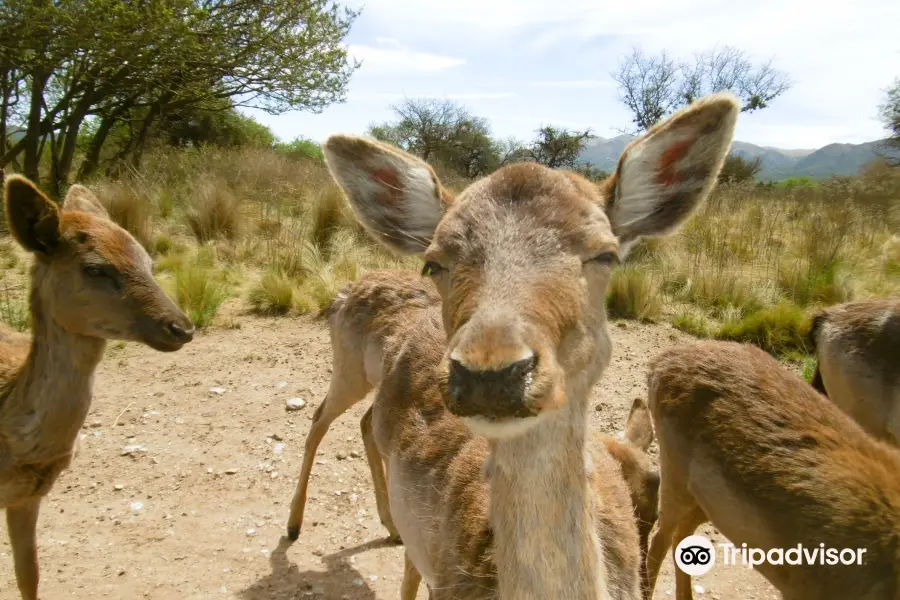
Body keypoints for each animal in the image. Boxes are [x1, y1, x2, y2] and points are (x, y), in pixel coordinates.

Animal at [286, 90, 740, 600]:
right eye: (434, 261)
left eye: (605, 254)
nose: (490, 371)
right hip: (349, 370)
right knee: (322, 420)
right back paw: (295, 526)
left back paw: (385, 525)